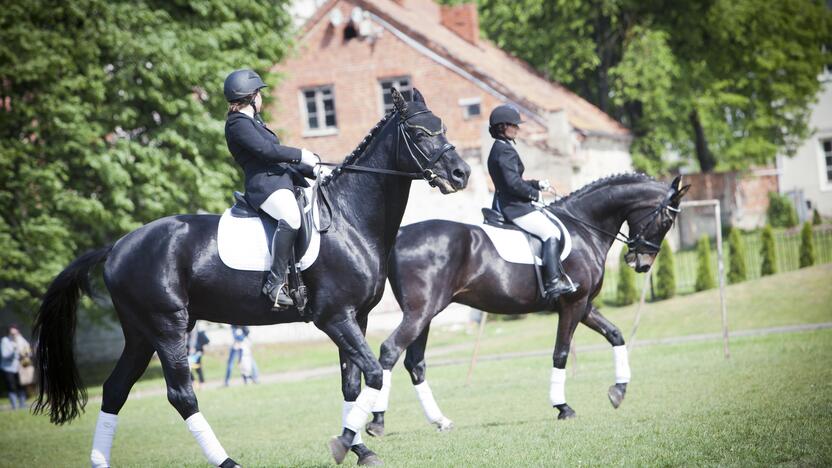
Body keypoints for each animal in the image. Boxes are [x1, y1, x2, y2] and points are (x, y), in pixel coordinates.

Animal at [32, 87, 468, 464]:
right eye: (419, 133)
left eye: (443, 126)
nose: (461, 174)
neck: (348, 219)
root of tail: (117, 247)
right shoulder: (335, 317)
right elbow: (374, 373)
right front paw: (344, 443)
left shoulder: (355, 318)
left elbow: (352, 384)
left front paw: (360, 448)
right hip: (167, 327)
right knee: (181, 395)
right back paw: (226, 460)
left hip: (141, 333)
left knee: (115, 390)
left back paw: (100, 460)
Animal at [364, 174, 688, 436]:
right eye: (666, 222)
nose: (641, 264)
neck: (584, 228)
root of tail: (401, 235)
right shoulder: (573, 304)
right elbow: (561, 353)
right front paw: (563, 407)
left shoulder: (584, 306)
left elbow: (616, 335)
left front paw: (618, 391)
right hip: (420, 312)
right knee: (390, 351)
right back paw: (377, 422)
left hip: (426, 316)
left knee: (415, 363)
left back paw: (440, 421)